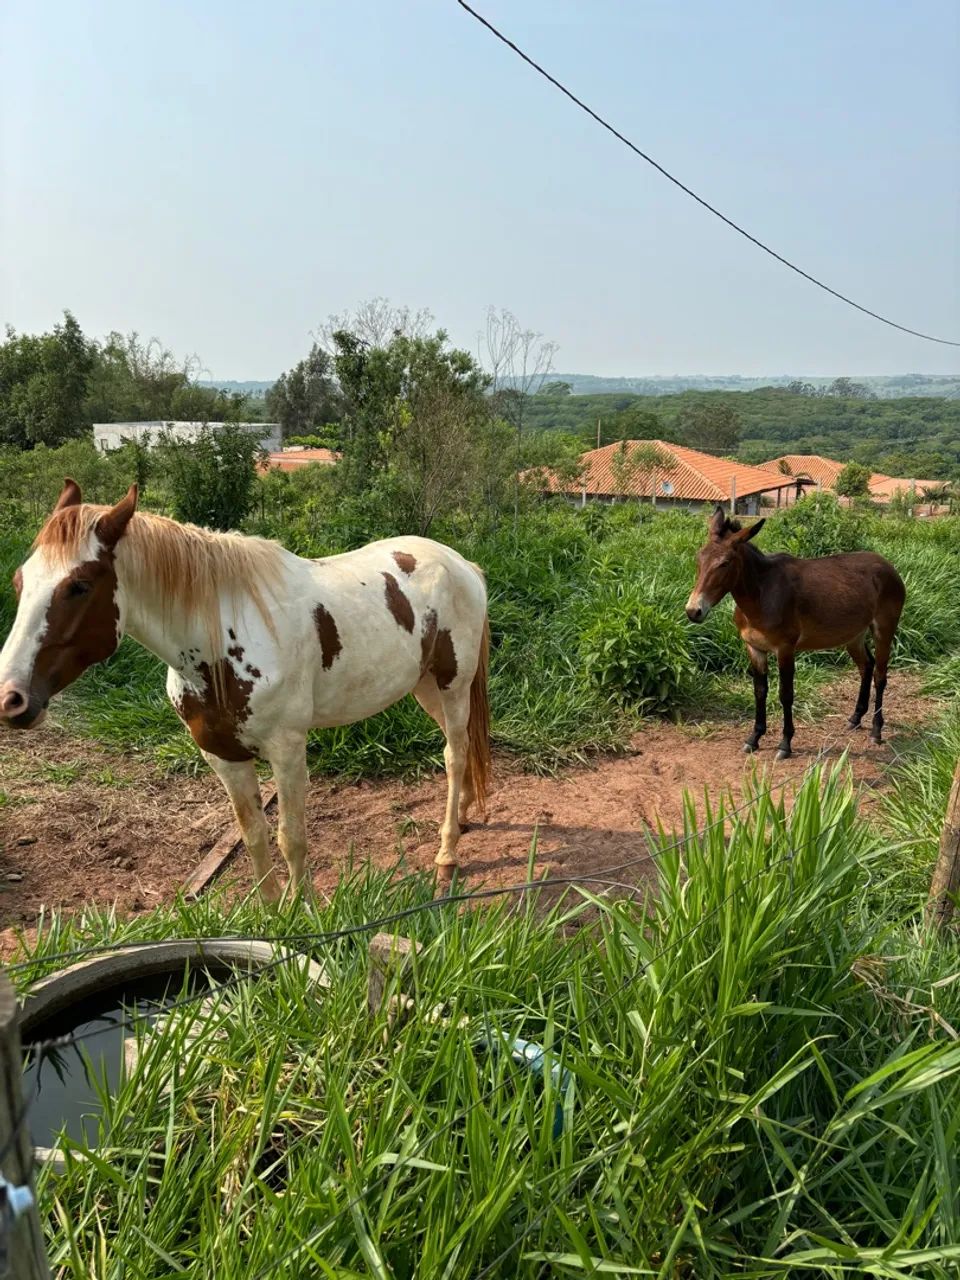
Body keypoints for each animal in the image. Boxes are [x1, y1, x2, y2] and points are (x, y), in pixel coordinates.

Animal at [0, 480, 491, 901]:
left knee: (453, 755)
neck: (221, 645)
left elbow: (291, 838)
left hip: (452, 683)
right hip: (424, 687)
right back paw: (465, 813)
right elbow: (253, 835)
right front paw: (273, 914)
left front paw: (303, 910)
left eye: (79, 586)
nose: (11, 698)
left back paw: (447, 853)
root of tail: (462, 565)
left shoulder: (287, 750)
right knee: (462, 744)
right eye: (20, 581)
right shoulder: (223, 755)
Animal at [685, 505, 906, 761]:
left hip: (884, 629)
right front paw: (754, 738)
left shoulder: (785, 649)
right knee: (866, 666)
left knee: (880, 675)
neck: (762, 595)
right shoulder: (754, 648)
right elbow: (760, 691)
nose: (693, 611)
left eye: (725, 563)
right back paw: (855, 718)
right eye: (699, 559)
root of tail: (887, 565)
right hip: (854, 636)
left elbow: (785, 694)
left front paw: (785, 744)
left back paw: (876, 730)